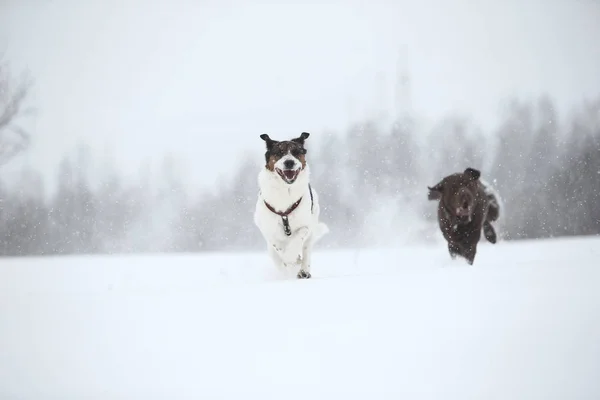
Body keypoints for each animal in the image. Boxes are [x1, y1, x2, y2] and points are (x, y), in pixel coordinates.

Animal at [253, 131, 328, 278]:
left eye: (296, 152)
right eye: (279, 153)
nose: (289, 162)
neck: (285, 190)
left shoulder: (305, 225)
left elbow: (298, 239)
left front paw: (292, 257)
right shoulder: (268, 229)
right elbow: (277, 245)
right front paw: (287, 258)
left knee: (306, 250)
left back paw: (303, 270)